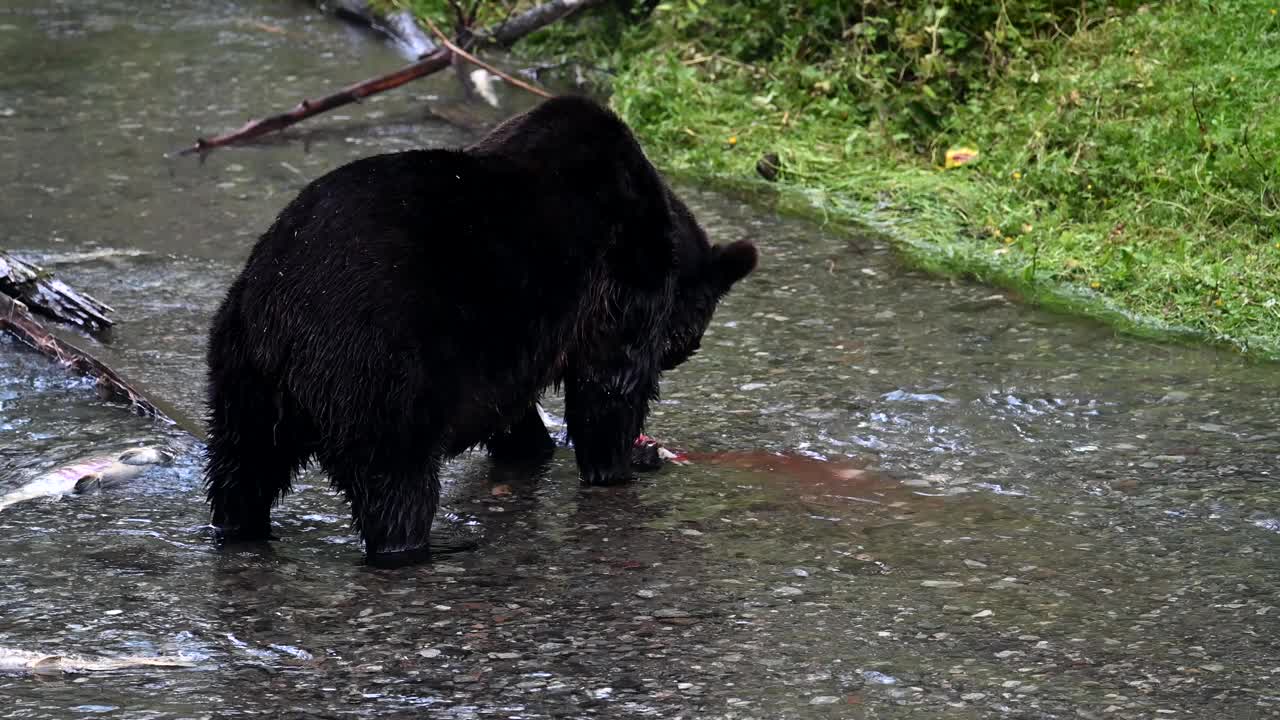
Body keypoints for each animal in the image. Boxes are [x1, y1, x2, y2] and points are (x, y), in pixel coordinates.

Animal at [203, 94, 752, 561]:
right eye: (689, 336)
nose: (683, 350)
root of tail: (277, 313)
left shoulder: (507, 343)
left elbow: (510, 405)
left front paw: (536, 445)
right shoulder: (618, 278)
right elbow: (609, 386)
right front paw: (623, 462)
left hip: (242, 373)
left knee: (241, 463)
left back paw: (237, 525)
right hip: (378, 366)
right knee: (395, 478)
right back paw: (411, 547)